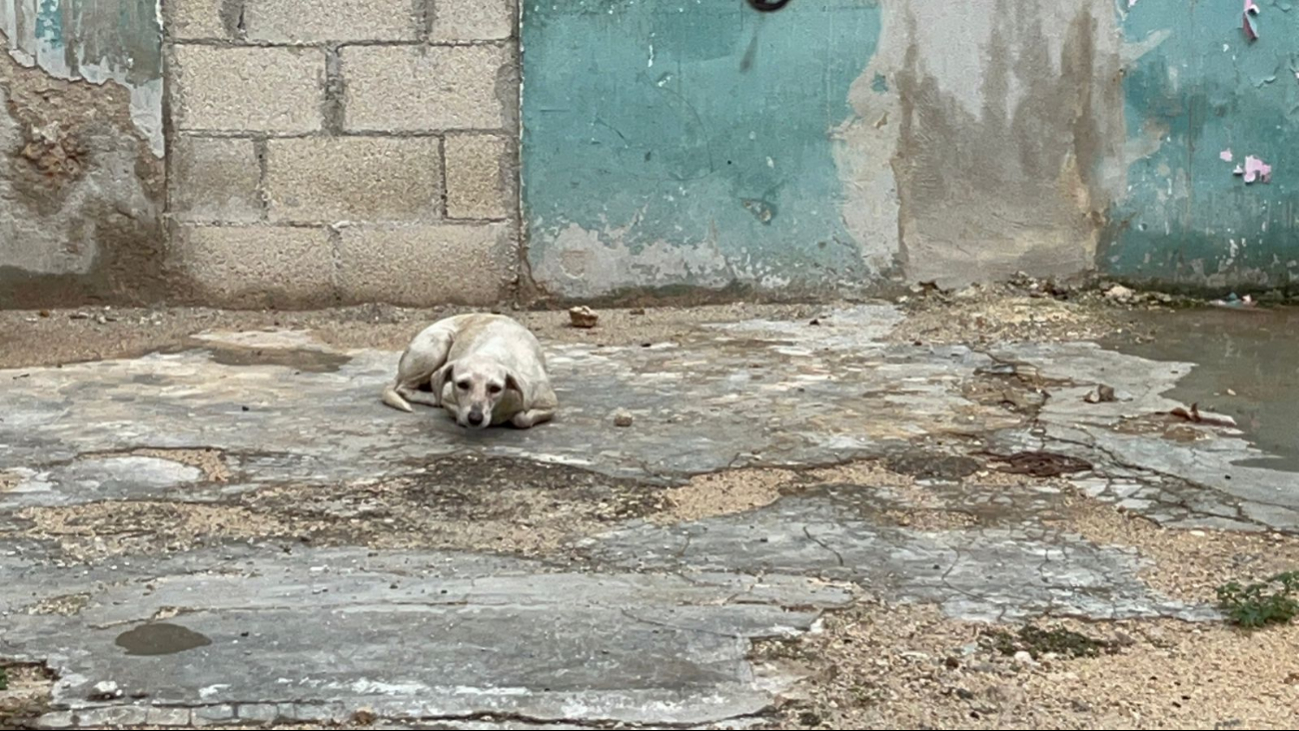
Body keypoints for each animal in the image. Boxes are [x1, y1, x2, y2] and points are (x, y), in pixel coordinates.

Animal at [379, 312, 555, 428]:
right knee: (404, 388)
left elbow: (522, 419)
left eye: (495, 388)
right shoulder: (449, 396)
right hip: (439, 342)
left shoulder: (549, 404)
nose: (475, 418)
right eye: (462, 384)